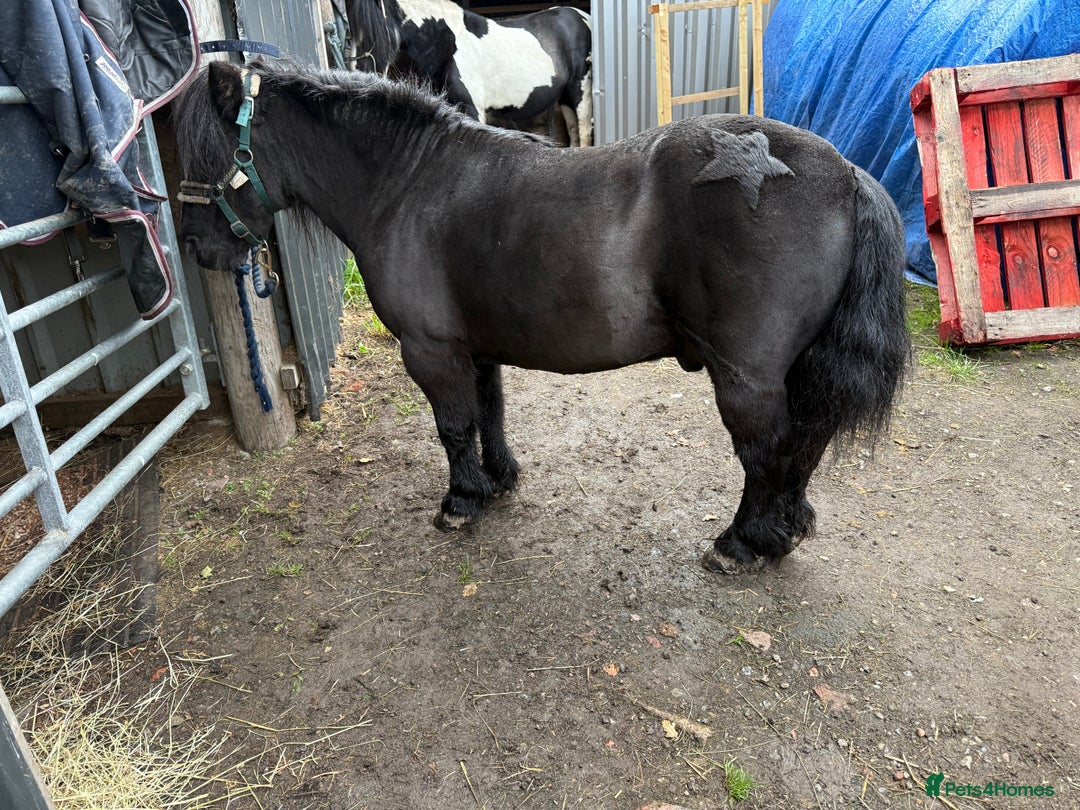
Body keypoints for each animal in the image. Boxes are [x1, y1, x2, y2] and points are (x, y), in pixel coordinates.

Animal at [174, 60, 909, 573]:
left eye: (208, 152)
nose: (196, 248)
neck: (408, 186)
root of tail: (846, 175)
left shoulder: (429, 350)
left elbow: (453, 426)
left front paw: (460, 502)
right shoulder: (474, 346)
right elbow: (489, 413)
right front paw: (498, 482)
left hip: (746, 379)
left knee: (769, 452)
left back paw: (743, 543)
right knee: (803, 445)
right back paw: (783, 530)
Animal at [345, 0, 593, 146]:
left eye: (373, 29)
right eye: (350, 31)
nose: (358, 76)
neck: (450, 44)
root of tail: (583, 16)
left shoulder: (473, 109)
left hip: (581, 91)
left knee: (584, 132)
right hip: (565, 97)